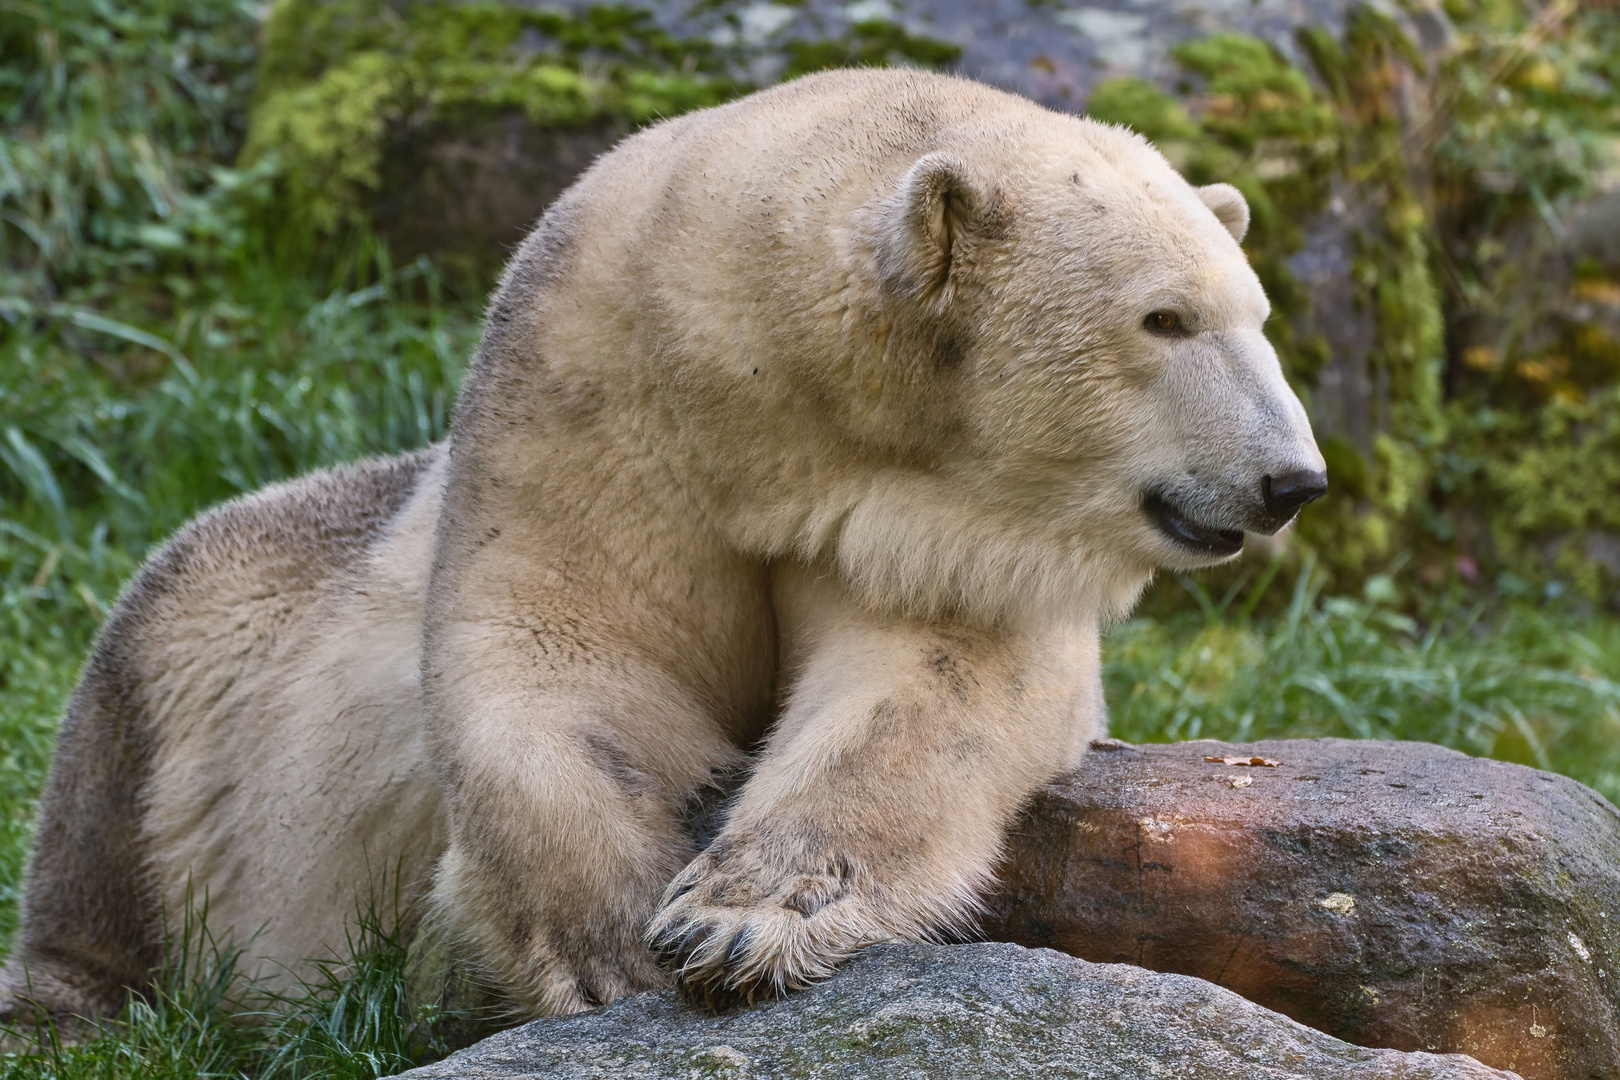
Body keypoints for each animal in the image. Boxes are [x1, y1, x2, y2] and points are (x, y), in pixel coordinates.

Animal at [0, 69, 1315, 1023]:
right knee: (119, 748)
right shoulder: (590, 395)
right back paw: (67, 996)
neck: (775, 393)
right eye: (1164, 318)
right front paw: (617, 946)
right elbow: (564, 649)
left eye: (1256, 313)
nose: (1291, 480)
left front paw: (744, 917)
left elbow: (935, 680)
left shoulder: (941, 524)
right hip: (226, 624)